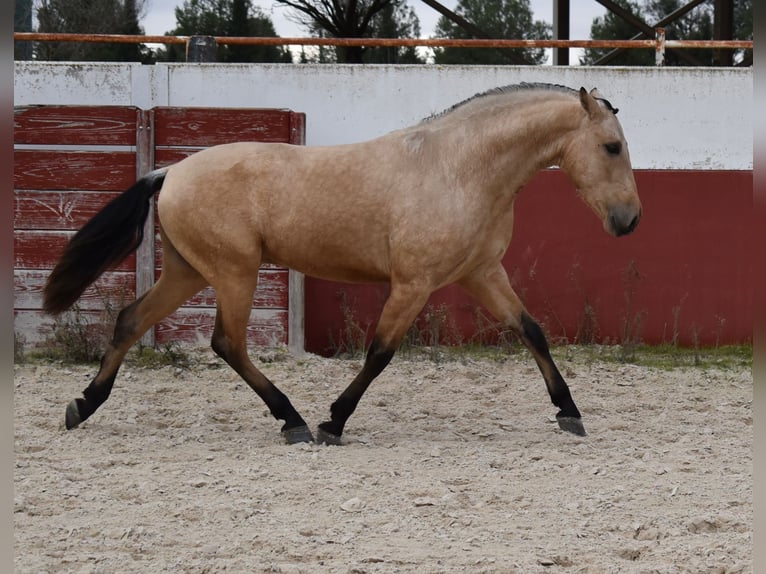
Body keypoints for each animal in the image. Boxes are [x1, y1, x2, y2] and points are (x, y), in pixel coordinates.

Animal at [42, 83, 640, 448]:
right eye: (611, 147)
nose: (629, 220)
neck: (459, 168)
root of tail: (170, 172)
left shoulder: (483, 274)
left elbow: (533, 331)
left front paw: (569, 413)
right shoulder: (413, 283)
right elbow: (379, 353)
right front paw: (333, 420)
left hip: (190, 271)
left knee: (131, 320)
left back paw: (83, 405)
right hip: (234, 273)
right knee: (227, 343)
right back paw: (294, 420)